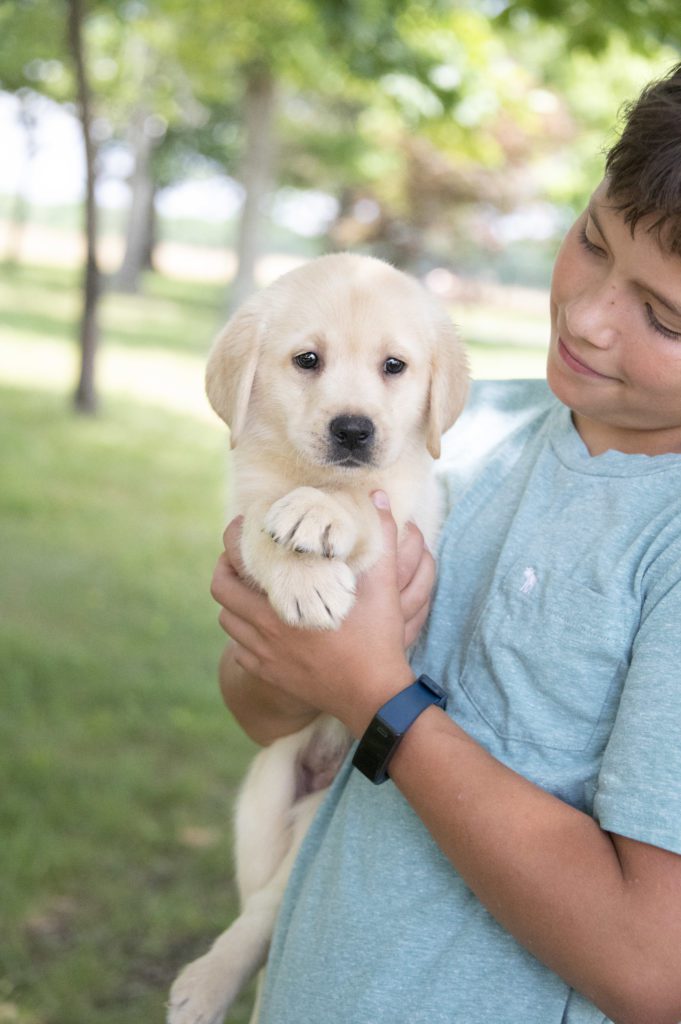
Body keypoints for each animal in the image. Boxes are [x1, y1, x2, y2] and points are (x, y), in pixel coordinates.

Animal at [168, 251, 466, 1024]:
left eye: (394, 366)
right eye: (308, 360)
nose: (353, 430)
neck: (312, 473)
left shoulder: (410, 514)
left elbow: (361, 503)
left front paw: (322, 516)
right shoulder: (242, 510)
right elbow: (262, 528)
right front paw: (303, 576)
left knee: (275, 907)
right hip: (266, 788)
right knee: (260, 909)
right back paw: (210, 982)